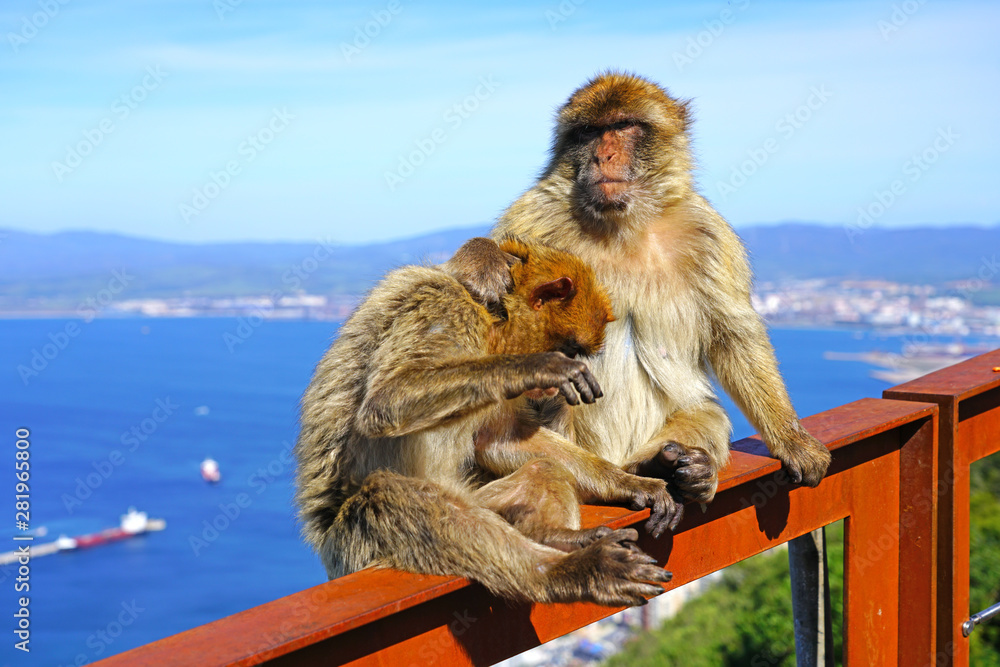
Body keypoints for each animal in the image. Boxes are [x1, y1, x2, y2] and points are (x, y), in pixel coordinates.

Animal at [294, 237, 678, 606]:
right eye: (571, 352)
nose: (551, 386)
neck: (490, 321)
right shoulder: (445, 308)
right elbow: (387, 398)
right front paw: (536, 367)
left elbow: (499, 439)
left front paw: (630, 482)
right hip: (353, 546)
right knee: (390, 495)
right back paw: (561, 571)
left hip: (482, 499)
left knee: (542, 470)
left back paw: (556, 537)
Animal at [492, 71, 832, 505]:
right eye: (589, 132)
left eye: (624, 126)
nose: (603, 157)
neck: (621, 223)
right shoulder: (528, 221)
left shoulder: (707, 232)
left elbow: (733, 333)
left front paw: (792, 440)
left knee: (707, 412)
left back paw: (675, 467)